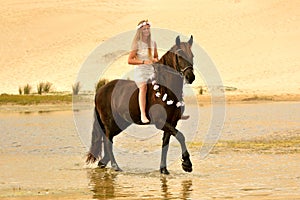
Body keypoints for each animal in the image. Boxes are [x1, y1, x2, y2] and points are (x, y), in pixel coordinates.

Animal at [86, 35, 195, 174]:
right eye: (180, 55)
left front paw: (164, 169)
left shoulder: (171, 122)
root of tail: (100, 90)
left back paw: (103, 163)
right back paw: (115, 166)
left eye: (192, 55)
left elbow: (166, 143)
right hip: (110, 122)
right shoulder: (161, 122)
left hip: (120, 123)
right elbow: (181, 136)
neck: (165, 90)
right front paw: (187, 163)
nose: (191, 77)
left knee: (108, 140)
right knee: (107, 140)